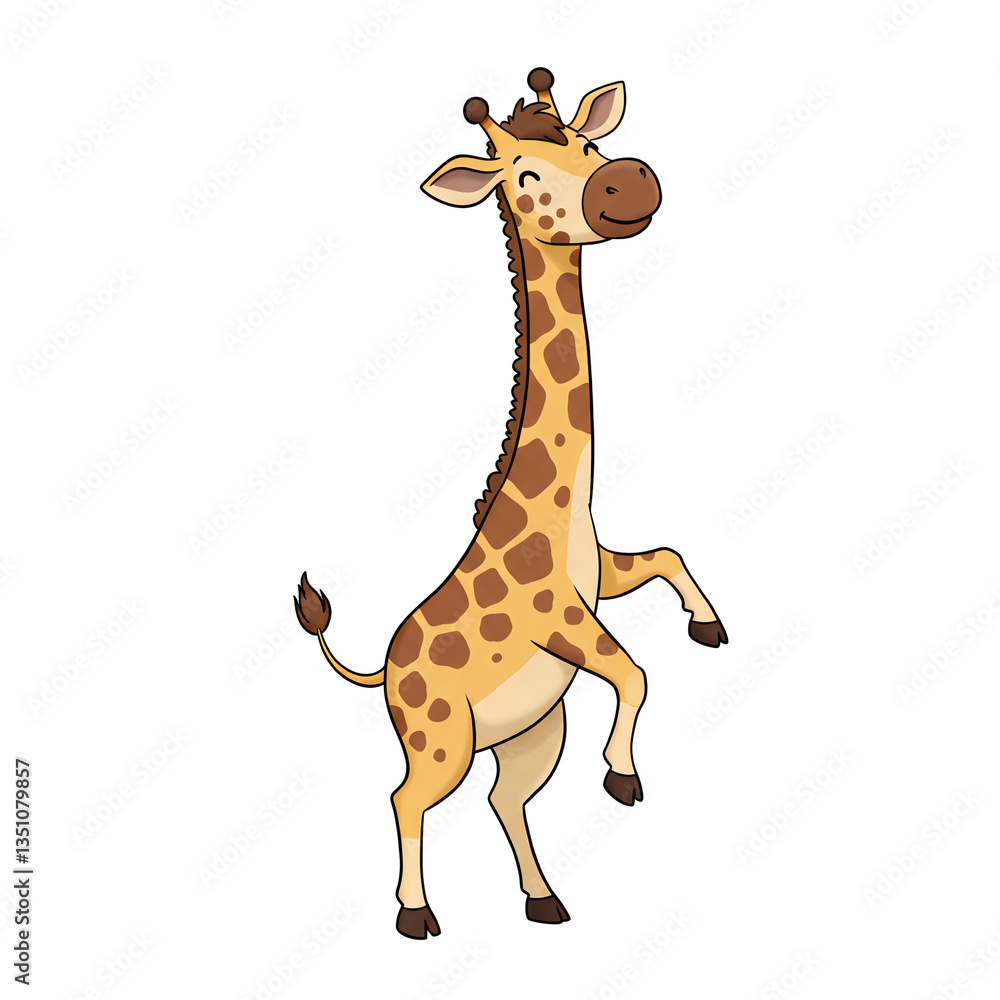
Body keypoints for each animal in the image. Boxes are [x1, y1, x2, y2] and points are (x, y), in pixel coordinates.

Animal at [294, 68, 728, 940]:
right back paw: (416, 916)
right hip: (441, 739)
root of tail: (382, 670)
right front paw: (622, 777)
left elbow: (668, 558)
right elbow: (635, 674)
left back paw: (545, 901)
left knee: (503, 800)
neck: (560, 508)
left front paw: (709, 626)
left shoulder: (604, 575)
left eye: (589, 143)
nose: (625, 182)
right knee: (407, 798)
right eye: (524, 177)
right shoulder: (562, 616)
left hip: (532, 730)